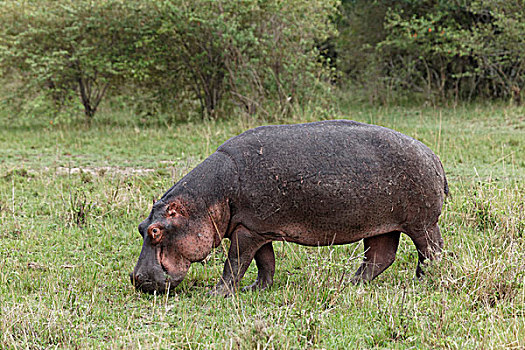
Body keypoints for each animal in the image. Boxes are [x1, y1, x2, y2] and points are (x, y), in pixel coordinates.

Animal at [131, 120, 446, 296]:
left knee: (431, 250)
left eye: (156, 231)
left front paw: (215, 293)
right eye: (141, 227)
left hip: (422, 223)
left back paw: (425, 279)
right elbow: (264, 262)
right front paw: (257, 289)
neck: (207, 198)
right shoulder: (256, 228)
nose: (137, 279)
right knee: (380, 256)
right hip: (381, 224)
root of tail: (433, 155)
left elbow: (234, 263)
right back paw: (348, 283)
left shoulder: (248, 231)